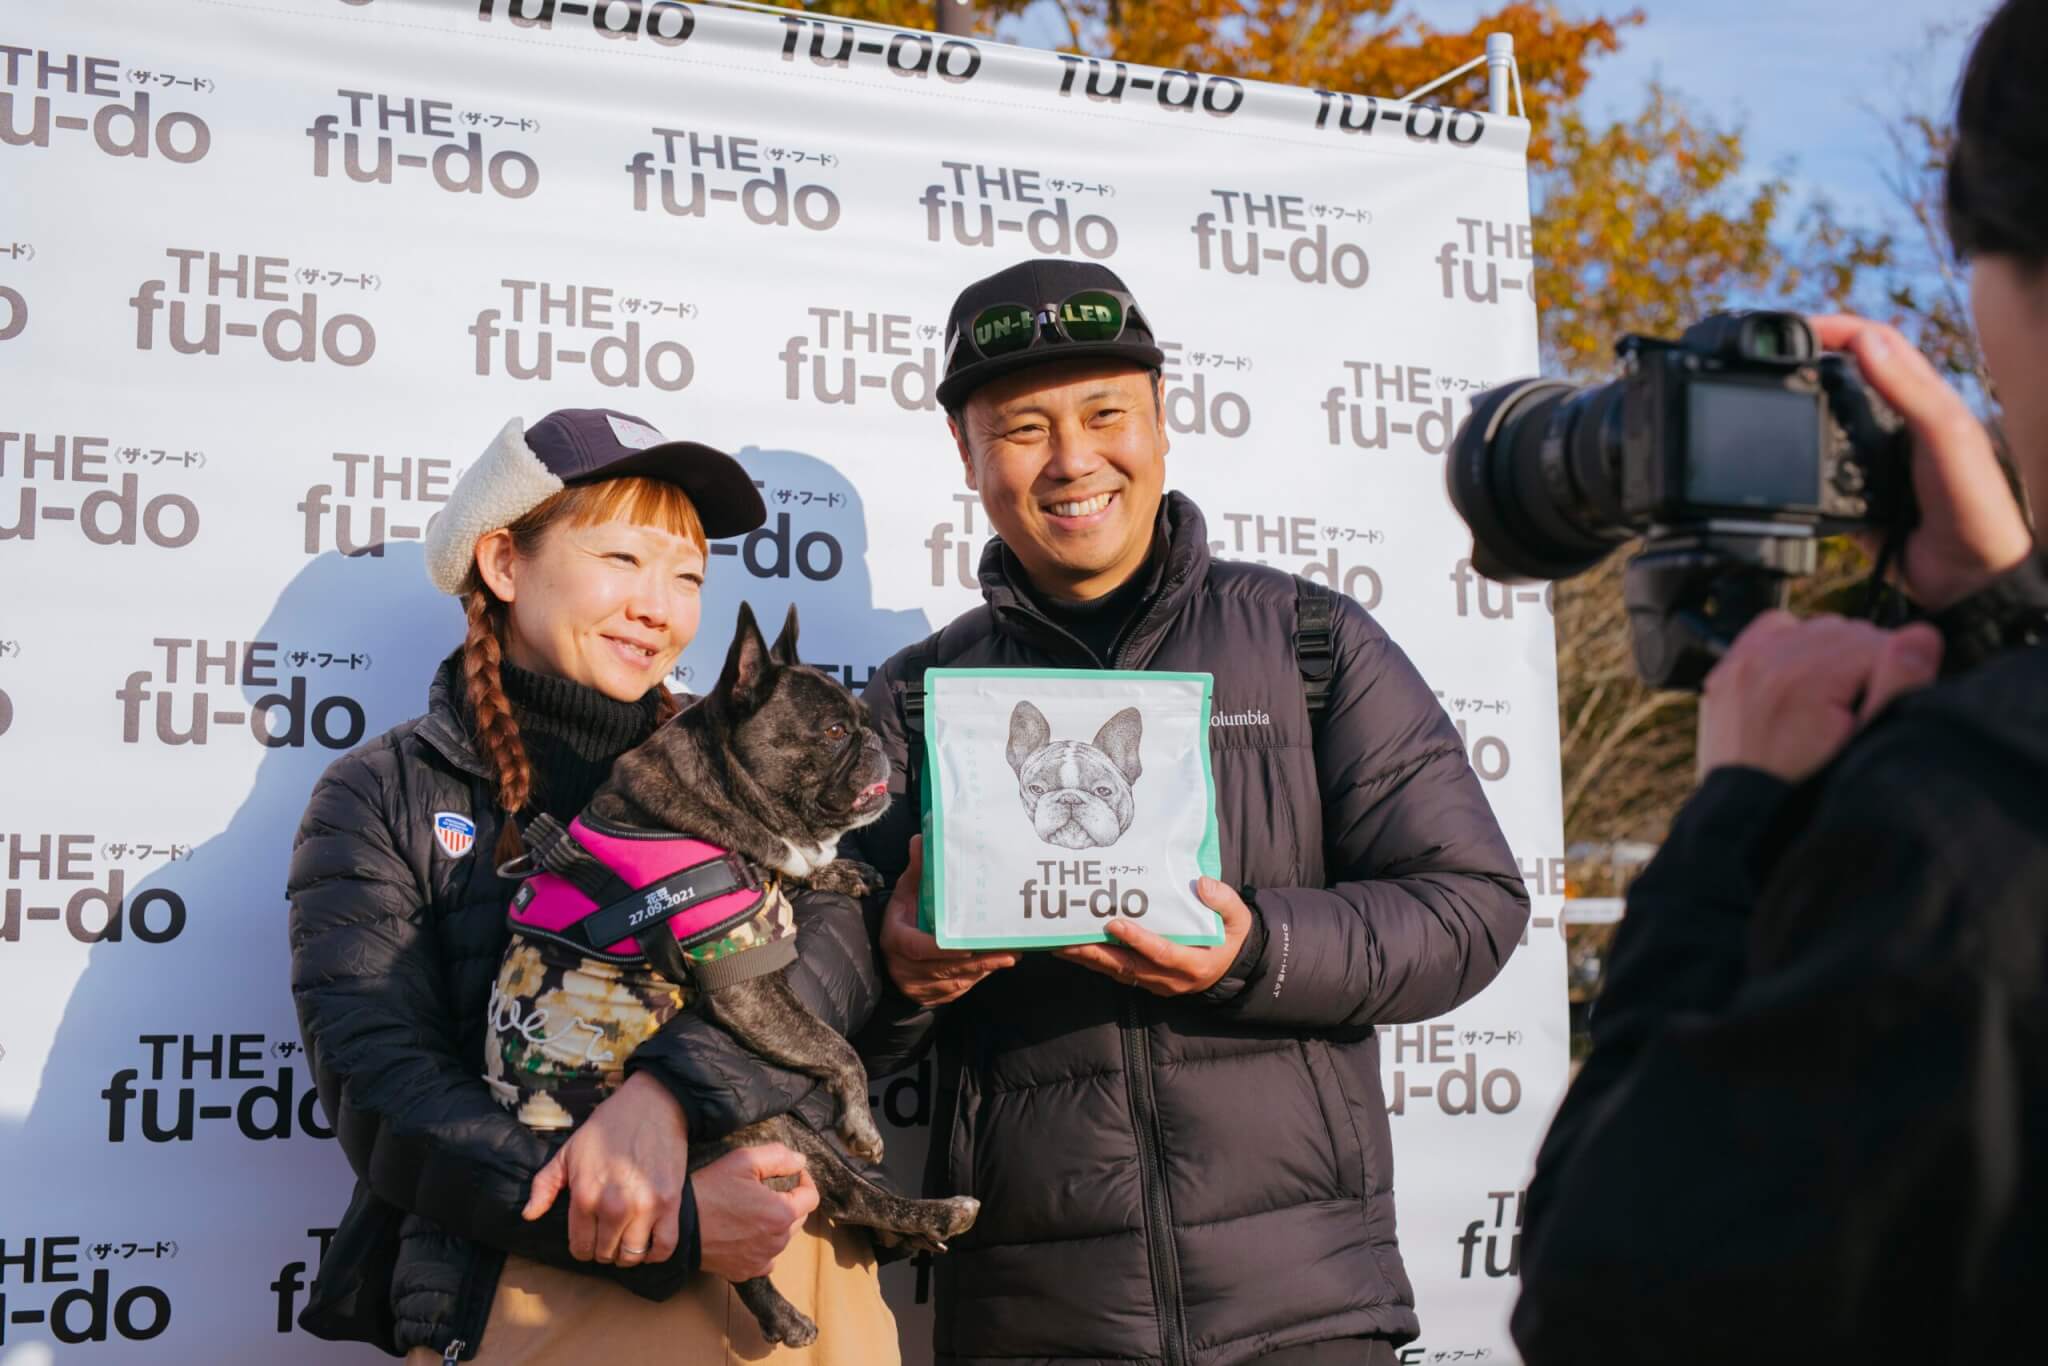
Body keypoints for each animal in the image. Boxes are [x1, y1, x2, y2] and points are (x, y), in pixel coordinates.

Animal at [484, 601, 978, 1347]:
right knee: (735, 1255)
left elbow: (798, 877)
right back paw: (782, 1315)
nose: (878, 743)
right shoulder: (743, 982)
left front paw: (839, 871)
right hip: (719, 1159)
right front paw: (863, 1121)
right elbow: (837, 1048)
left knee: (853, 1195)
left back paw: (934, 1216)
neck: (718, 801)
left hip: (791, 1134)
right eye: (835, 731)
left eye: (860, 722)